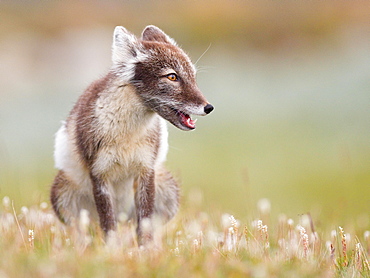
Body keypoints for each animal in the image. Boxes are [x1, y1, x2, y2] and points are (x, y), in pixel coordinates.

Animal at [51, 26, 214, 243]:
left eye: (193, 77)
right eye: (172, 77)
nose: (209, 107)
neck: (127, 135)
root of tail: (122, 213)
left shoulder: (145, 170)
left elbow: (144, 226)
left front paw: (145, 251)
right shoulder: (99, 175)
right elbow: (108, 226)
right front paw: (111, 249)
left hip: (169, 191)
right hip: (63, 196)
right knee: (88, 230)